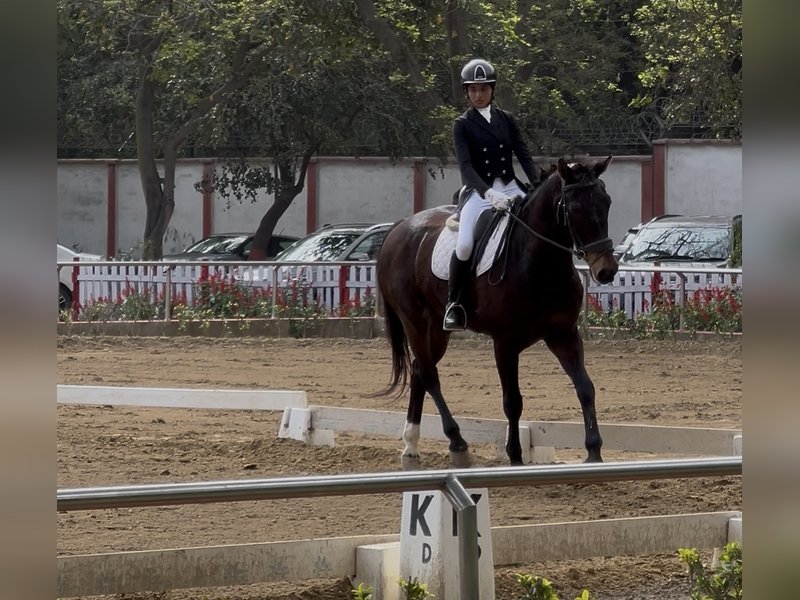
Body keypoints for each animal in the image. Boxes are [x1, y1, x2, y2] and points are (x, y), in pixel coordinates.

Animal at [374, 156, 618, 468]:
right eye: (574, 208)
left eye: (606, 202)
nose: (606, 270)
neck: (540, 263)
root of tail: (400, 226)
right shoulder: (505, 342)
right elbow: (512, 401)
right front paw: (514, 455)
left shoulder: (563, 333)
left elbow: (585, 387)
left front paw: (593, 452)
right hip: (414, 320)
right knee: (428, 373)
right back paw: (457, 442)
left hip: (437, 328)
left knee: (420, 368)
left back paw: (411, 443)